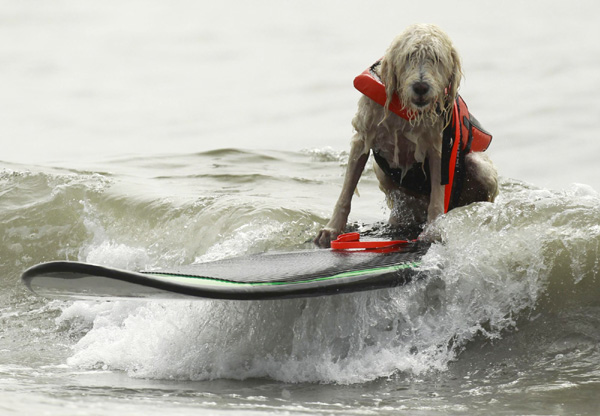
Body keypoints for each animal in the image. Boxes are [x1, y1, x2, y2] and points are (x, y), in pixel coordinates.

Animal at [314, 23, 496, 247]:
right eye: (409, 56)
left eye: (436, 58)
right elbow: (346, 191)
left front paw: (433, 230)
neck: (405, 109)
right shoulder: (363, 137)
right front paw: (332, 229)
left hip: (479, 167)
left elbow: (437, 196)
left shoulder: (438, 147)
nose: (421, 86)